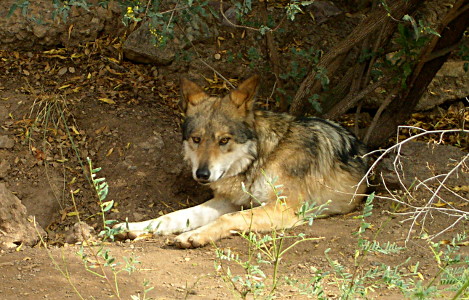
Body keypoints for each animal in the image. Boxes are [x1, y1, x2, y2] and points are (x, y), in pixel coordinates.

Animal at [115, 75, 368, 248]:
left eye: (224, 140)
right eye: (197, 139)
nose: (202, 174)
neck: (262, 159)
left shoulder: (284, 208)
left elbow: (229, 218)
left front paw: (194, 235)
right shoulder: (228, 201)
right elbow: (174, 215)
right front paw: (134, 227)